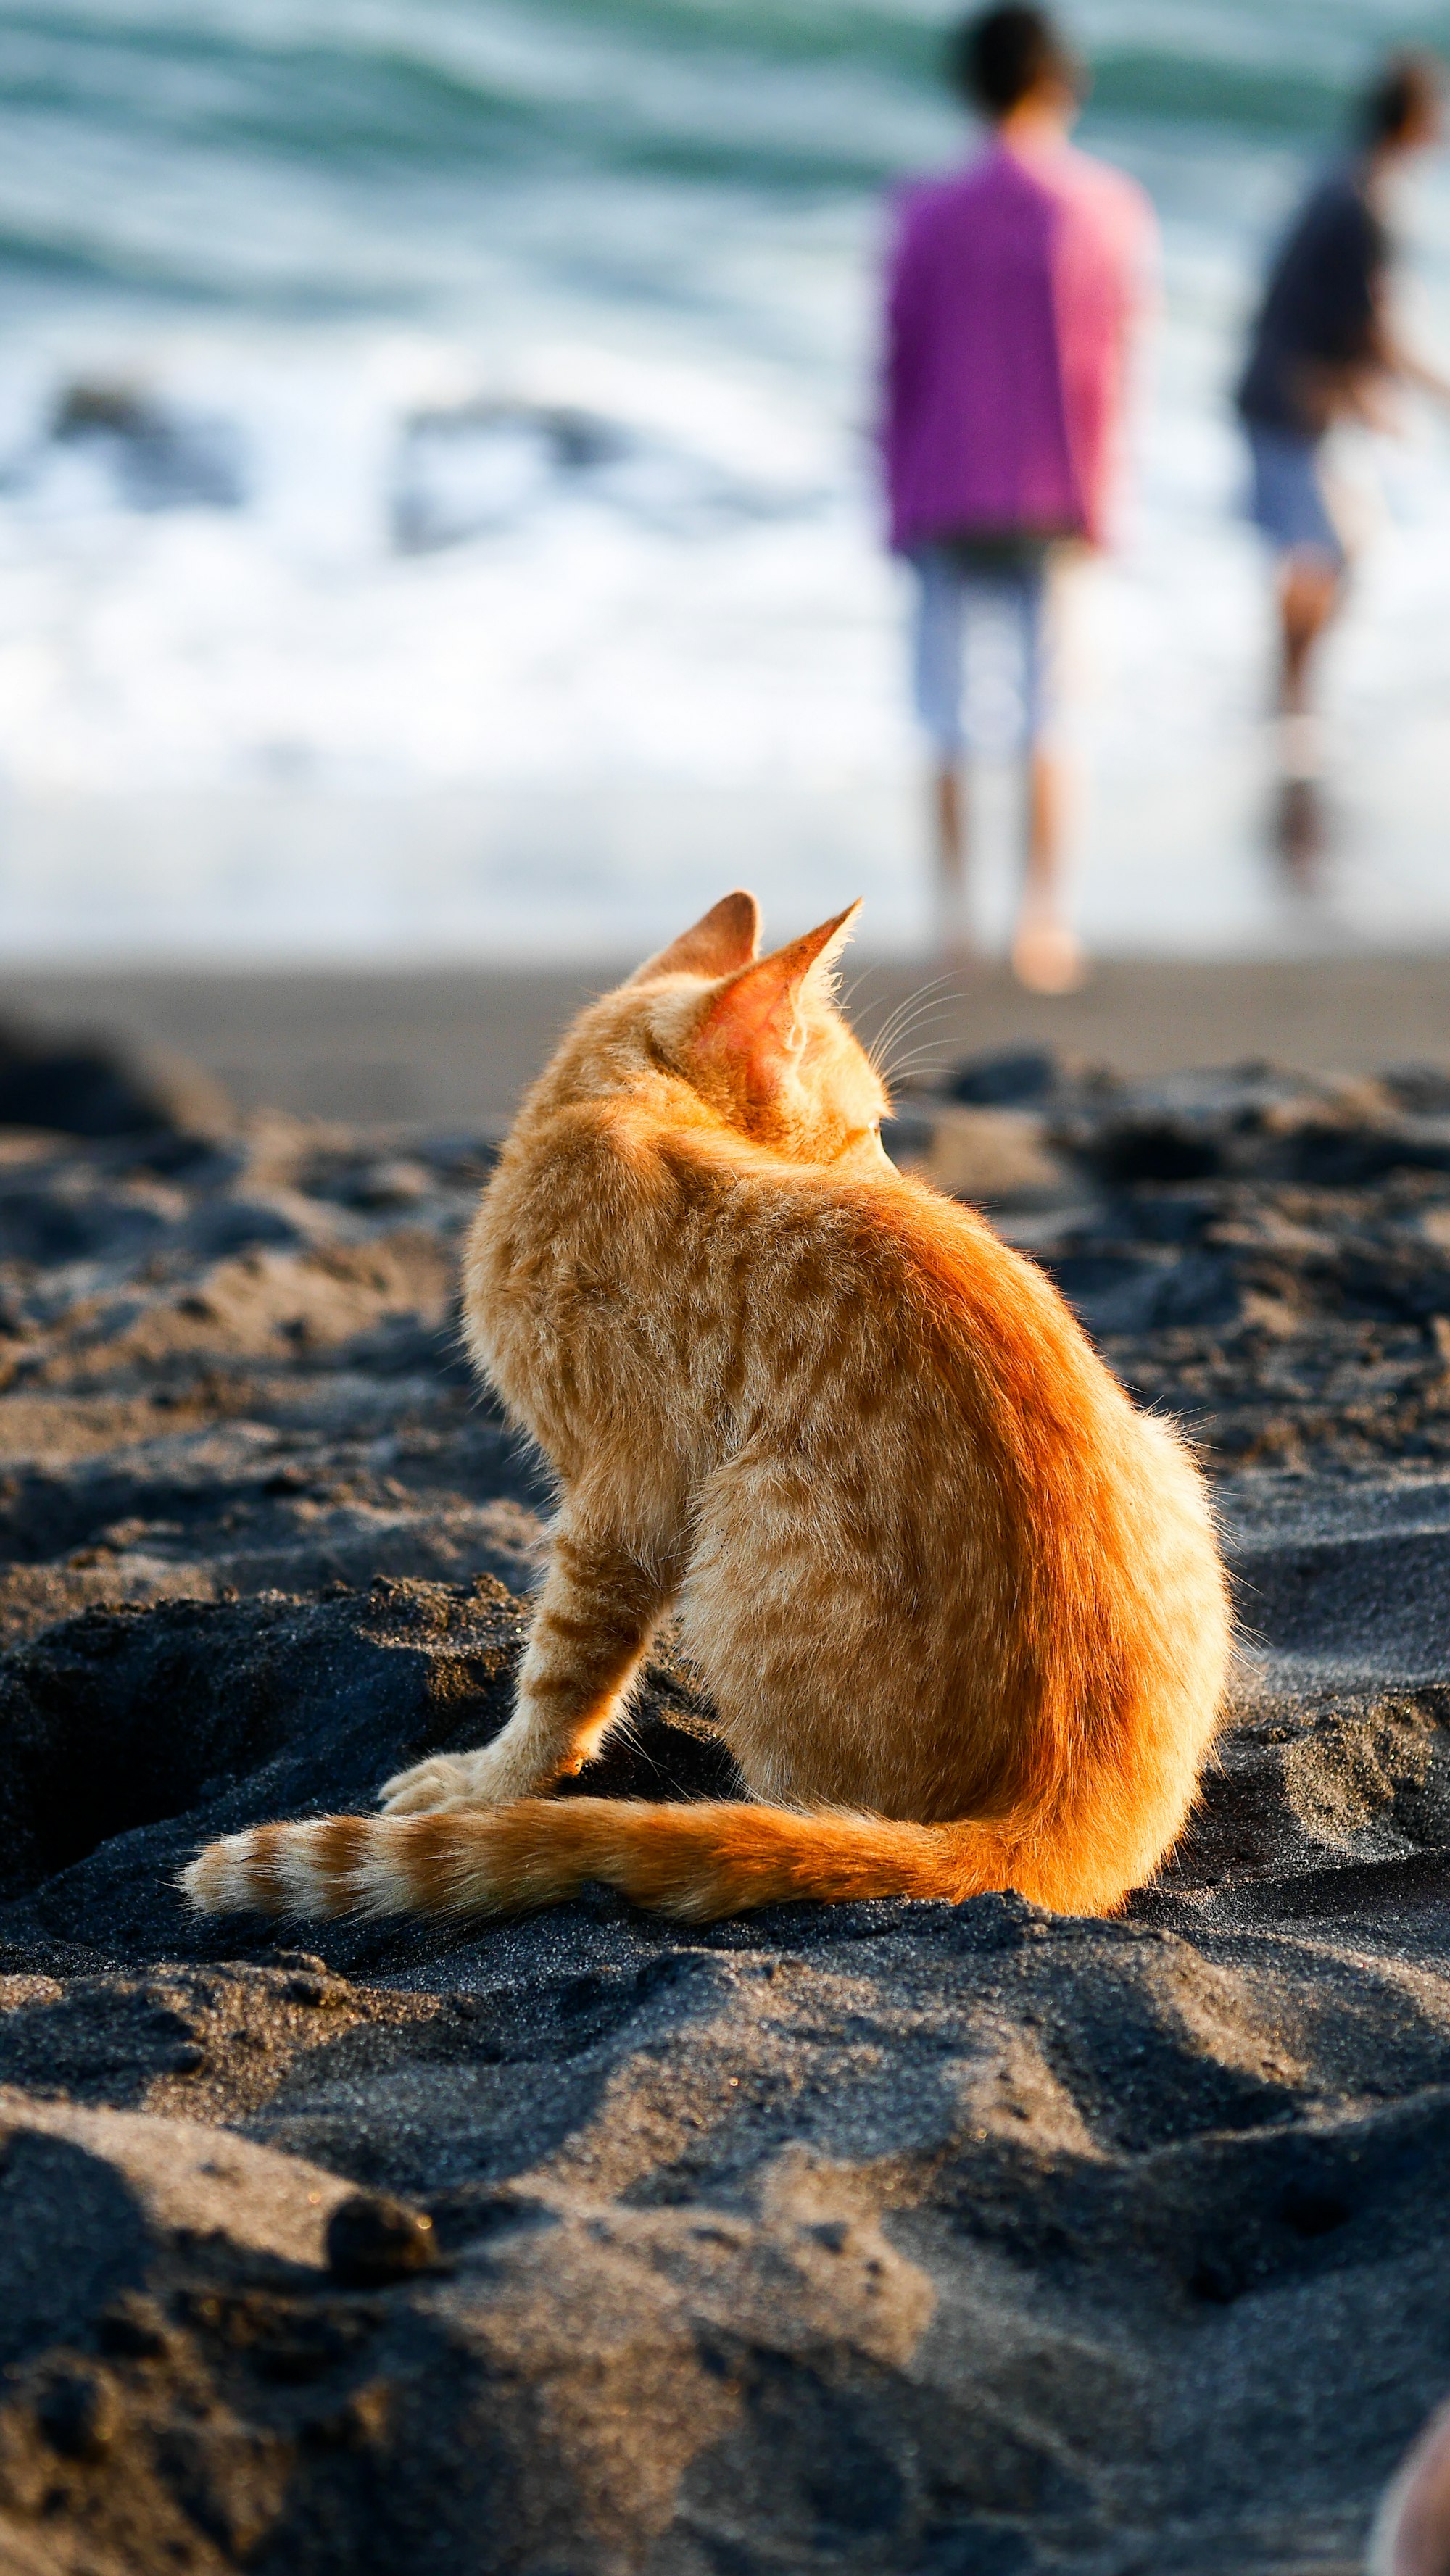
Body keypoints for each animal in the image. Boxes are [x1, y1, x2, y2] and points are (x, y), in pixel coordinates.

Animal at [178, 896, 1225, 1927]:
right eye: (871, 1129)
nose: (904, 1183)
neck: (610, 1102)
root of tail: (1058, 1811)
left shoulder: (617, 1493)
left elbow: (562, 1673)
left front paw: (491, 1784)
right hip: (1164, 1451)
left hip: (743, 1510)